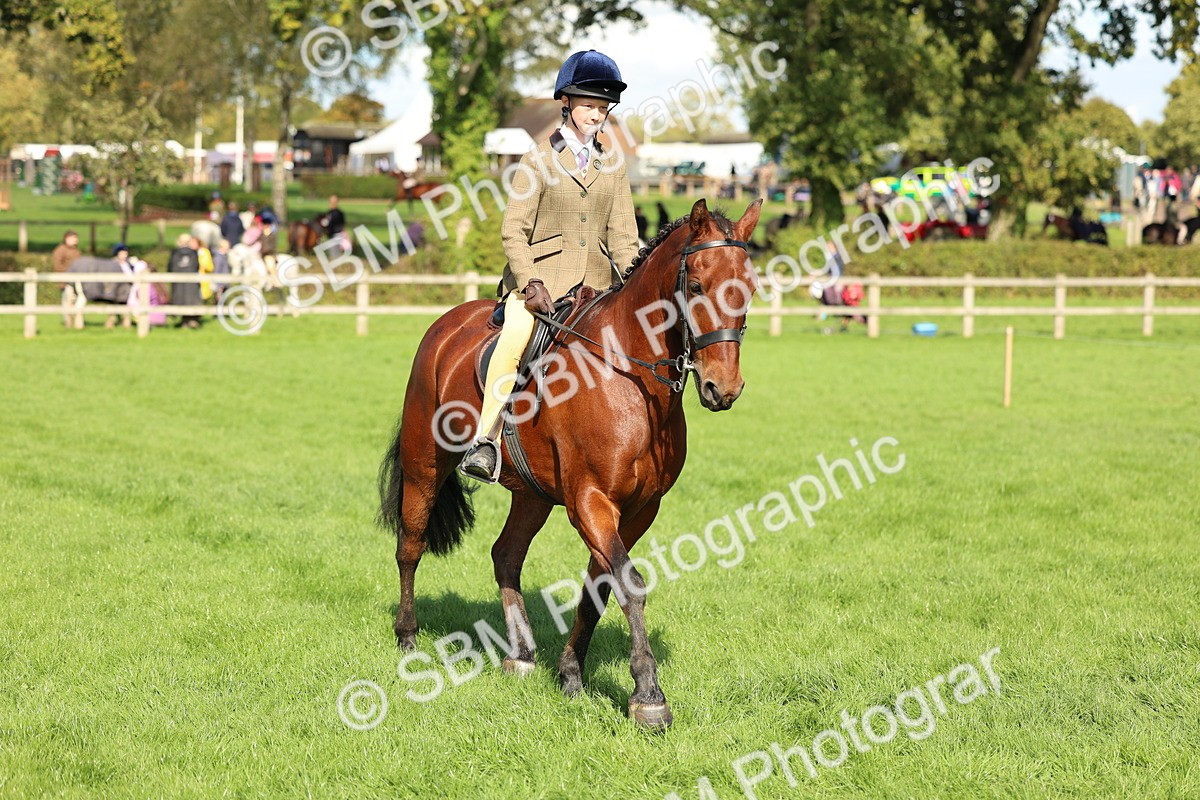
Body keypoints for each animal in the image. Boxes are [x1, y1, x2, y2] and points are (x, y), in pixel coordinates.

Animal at [377, 198, 762, 729]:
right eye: (698, 286)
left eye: (749, 288)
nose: (723, 389)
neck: (628, 378)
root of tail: (446, 323)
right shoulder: (590, 501)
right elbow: (630, 584)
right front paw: (648, 695)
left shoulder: (639, 510)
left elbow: (599, 588)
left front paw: (571, 674)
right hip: (424, 466)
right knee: (410, 547)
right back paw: (408, 638)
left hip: (531, 494)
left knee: (506, 554)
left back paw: (521, 655)